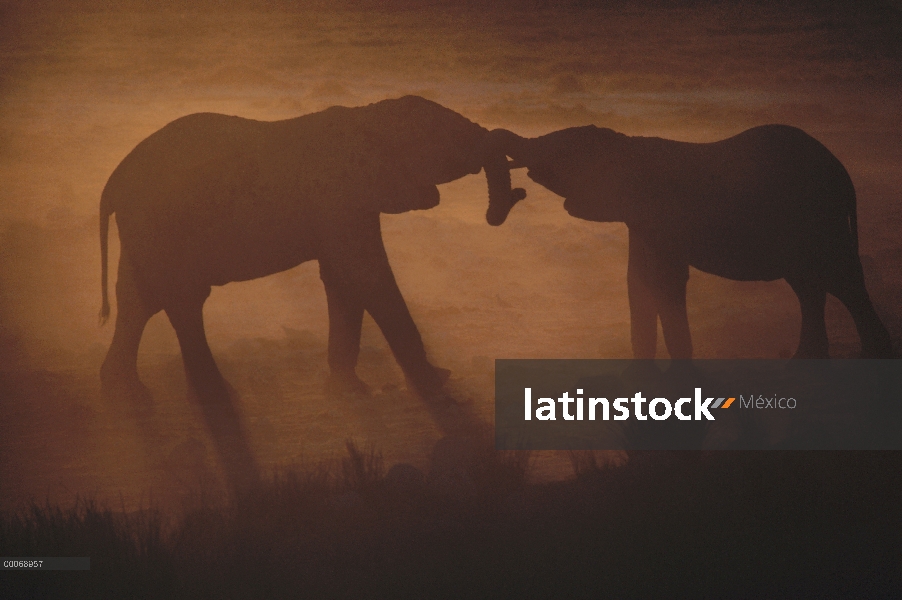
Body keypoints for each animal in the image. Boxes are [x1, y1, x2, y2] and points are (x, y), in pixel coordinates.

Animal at [98, 95, 524, 404]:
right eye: (446, 138)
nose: (517, 194)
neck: (368, 116)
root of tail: (113, 181)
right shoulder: (341, 195)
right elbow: (367, 274)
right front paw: (437, 382)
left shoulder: (349, 205)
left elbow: (344, 278)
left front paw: (349, 389)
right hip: (163, 226)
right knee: (180, 302)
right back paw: (213, 397)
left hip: (144, 232)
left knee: (138, 303)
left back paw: (125, 393)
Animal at [484, 122, 892, 356]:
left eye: (560, 153)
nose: (511, 196)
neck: (627, 146)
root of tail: (843, 173)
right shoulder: (642, 221)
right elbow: (639, 283)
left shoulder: (660, 217)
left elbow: (665, 283)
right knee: (811, 287)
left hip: (820, 221)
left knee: (842, 283)